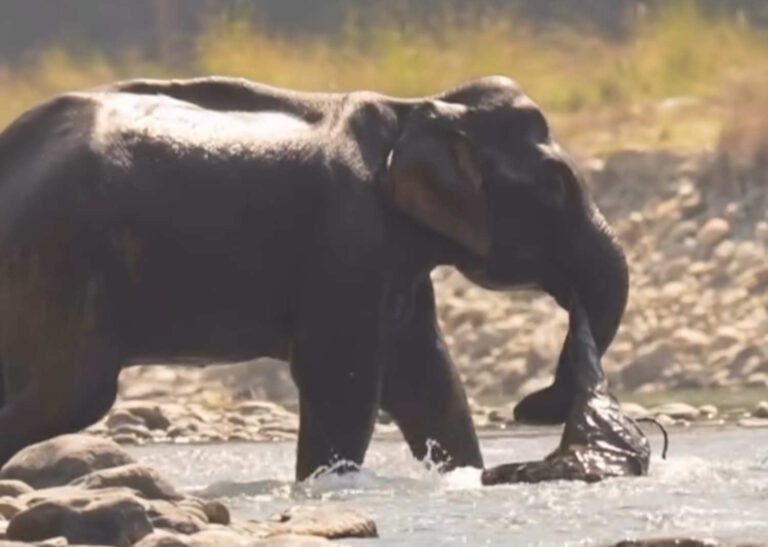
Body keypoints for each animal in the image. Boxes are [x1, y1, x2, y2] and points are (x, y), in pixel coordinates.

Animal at [0, 75, 628, 481]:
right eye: (555, 188)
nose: (530, 407)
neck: (416, 108)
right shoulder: (347, 242)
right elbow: (344, 380)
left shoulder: (391, 266)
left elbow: (427, 377)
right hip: (61, 257)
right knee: (77, 392)